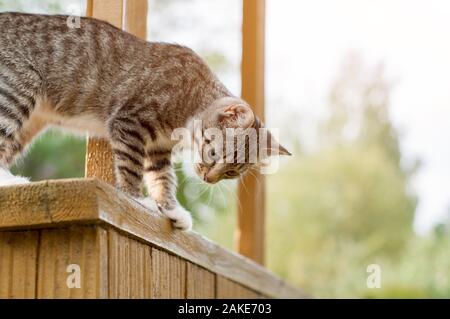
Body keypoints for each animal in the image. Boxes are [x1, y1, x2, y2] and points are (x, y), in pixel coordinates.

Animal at [0, 12, 290, 231]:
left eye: (231, 172)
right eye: (214, 153)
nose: (209, 179)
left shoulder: (158, 148)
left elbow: (162, 177)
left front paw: (173, 209)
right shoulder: (129, 120)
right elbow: (131, 166)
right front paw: (136, 199)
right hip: (18, 90)